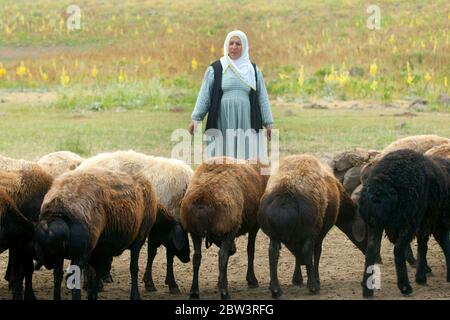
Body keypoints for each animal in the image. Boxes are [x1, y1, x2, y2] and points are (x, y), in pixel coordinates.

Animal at [33, 168, 156, 300]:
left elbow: (98, 272)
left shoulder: (99, 251)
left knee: (59, 276)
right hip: (79, 255)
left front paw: (93, 295)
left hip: (65, 257)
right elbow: (131, 268)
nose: (43, 262)